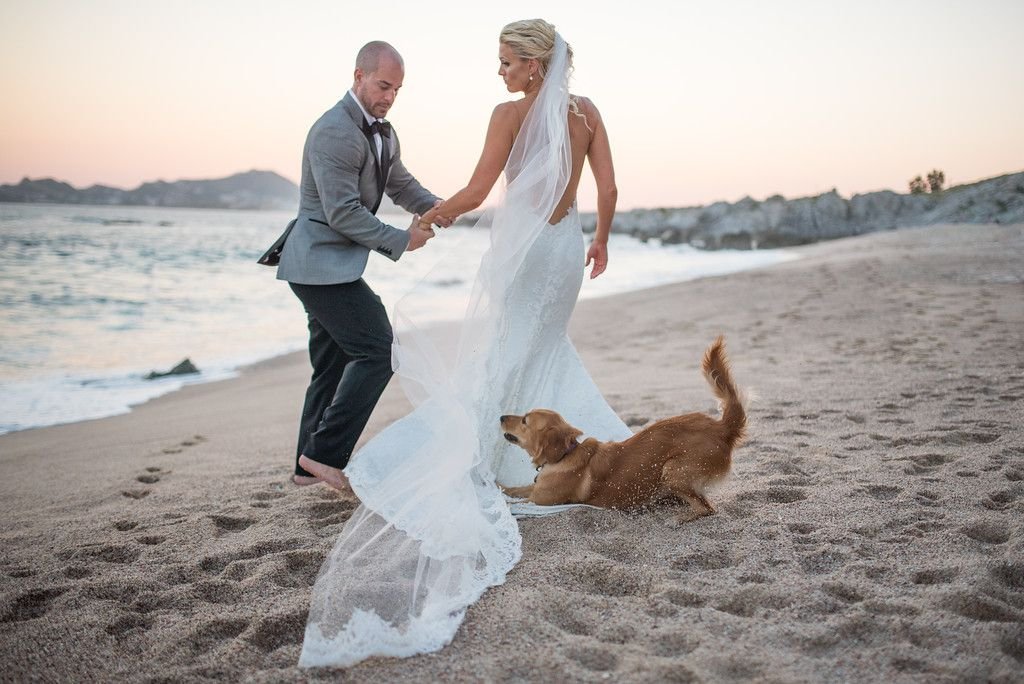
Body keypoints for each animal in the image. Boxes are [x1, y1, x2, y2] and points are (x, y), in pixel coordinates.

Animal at [497, 333, 745, 520]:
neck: (565, 455)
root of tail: (721, 427)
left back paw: (679, 518)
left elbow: (515, 498)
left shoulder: (538, 500)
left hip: (672, 470)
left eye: (525, 420)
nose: (500, 416)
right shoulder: (534, 490)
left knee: (706, 508)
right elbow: (515, 488)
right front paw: (498, 484)